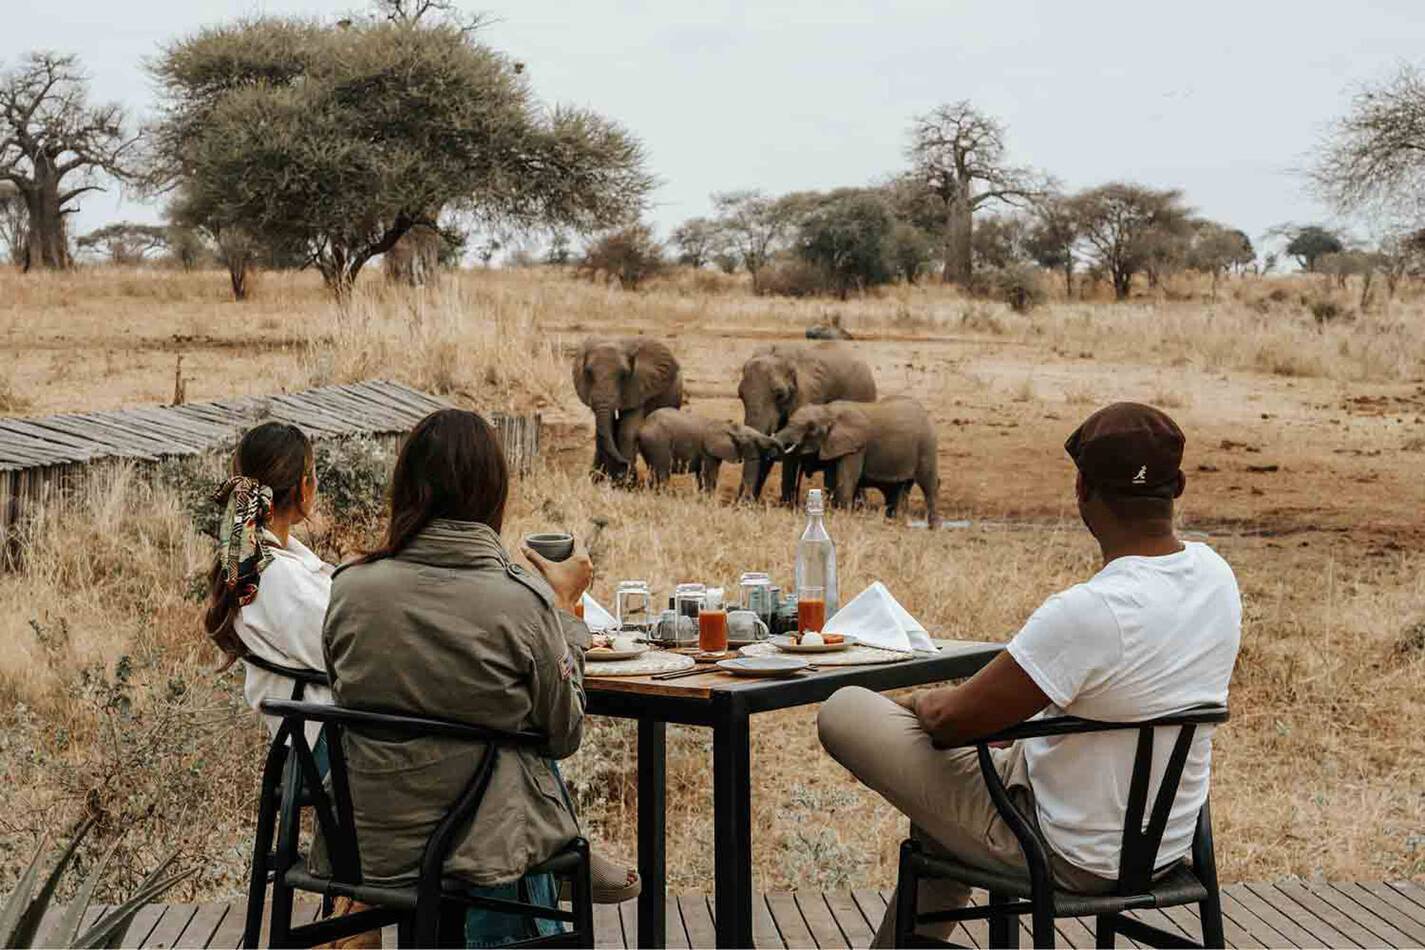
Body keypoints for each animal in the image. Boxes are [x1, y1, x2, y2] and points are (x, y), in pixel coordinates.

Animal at [570, 336, 681, 484]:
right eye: (588, 372)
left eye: (624, 375)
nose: (627, 463)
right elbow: (606, 429)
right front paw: (598, 480)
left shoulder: (639, 386)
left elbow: (627, 429)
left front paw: (625, 482)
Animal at [641, 410, 786, 495]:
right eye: (750, 440)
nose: (772, 455)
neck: (725, 426)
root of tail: (644, 424)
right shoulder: (707, 451)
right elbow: (708, 474)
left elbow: (708, 475)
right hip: (658, 443)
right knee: (663, 473)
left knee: (653, 471)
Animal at [741, 343, 872, 504]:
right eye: (740, 395)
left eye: (780, 395)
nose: (744, 500)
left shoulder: (807, 397)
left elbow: (791, 454)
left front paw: (787, 505)